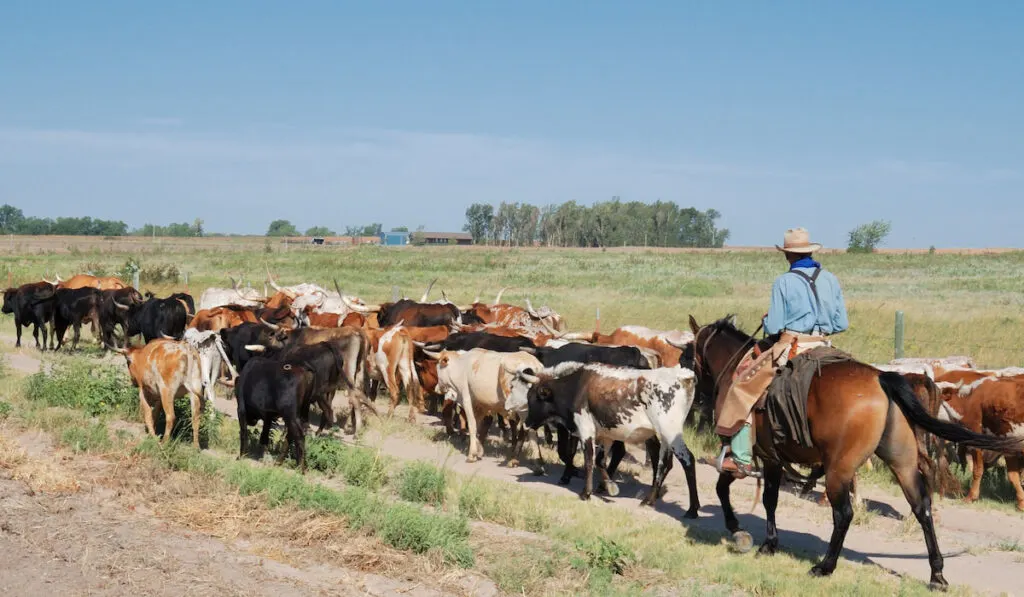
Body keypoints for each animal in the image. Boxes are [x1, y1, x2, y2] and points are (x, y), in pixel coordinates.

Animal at [507, 362, 700, 516]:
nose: (528, 422)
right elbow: (600, 461)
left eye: (533, 397)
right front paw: (610, 486)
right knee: (663, 463)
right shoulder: (606, 435)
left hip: (670, 432)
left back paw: (692, 509)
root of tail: (683, 375)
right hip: (665, 436)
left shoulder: (585, 429)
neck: (577, 386)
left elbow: (588, 460)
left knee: (688, 461)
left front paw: (586, 492)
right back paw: (649, 500)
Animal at [688, 315, 1024, 589]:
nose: (701, 394)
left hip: (839, 469)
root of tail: (882, 378)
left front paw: (749, 534)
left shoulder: (765, 457)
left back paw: (825, 566)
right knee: (922, 506)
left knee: (844, 514)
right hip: (901, 462)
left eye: (693, 354)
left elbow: (748, 493)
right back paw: (937, 574)